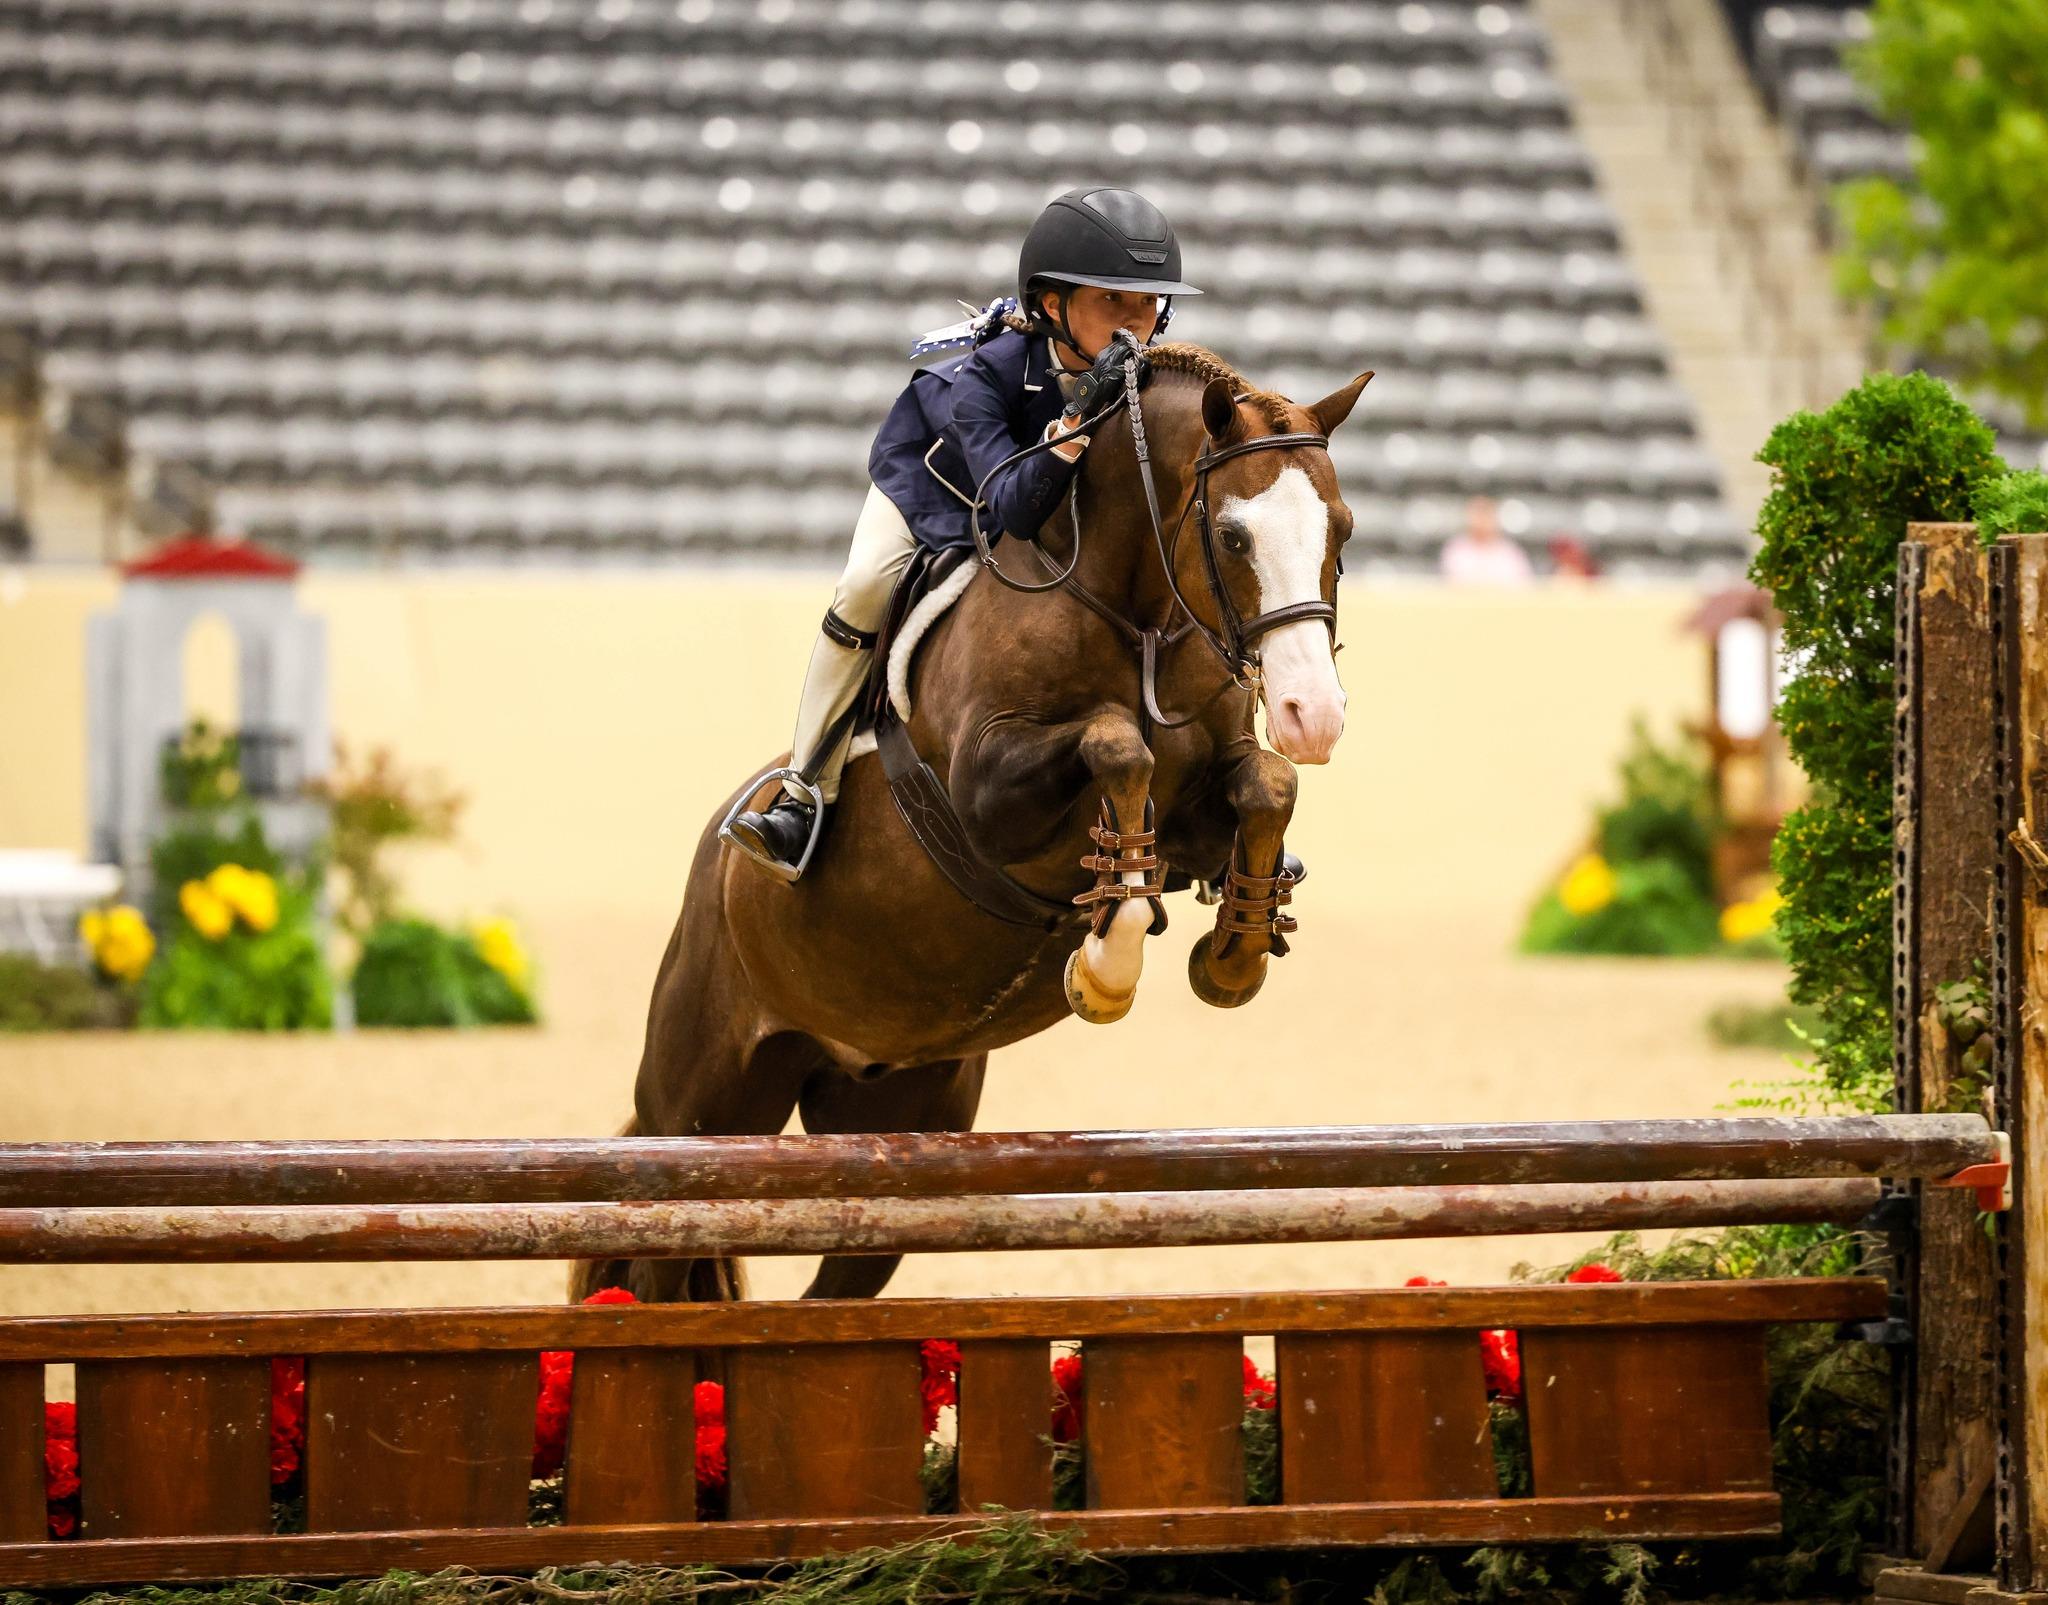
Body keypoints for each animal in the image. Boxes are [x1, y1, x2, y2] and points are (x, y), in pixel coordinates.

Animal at [577, 342, 1372, 1304]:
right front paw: (1108, 962)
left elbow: (1266, 784)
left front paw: (1236, 948)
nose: (1313, 713)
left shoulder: (1207, 808)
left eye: (1342, 531)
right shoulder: (987, 798)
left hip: (895, 1121)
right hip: (701, 1107)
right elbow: (1117, 746)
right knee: (659, 1254)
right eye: (1233, 536)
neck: (1133, 614)